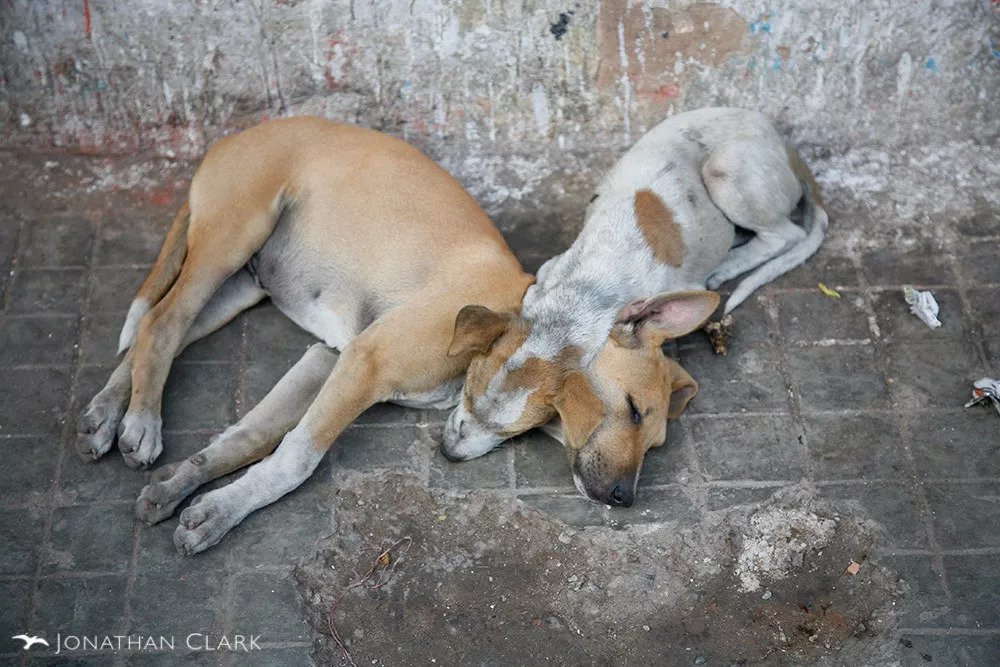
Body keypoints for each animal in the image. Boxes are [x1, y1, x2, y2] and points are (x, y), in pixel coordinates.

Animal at [78, 117, 536, 556]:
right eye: (475, 395)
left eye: (516, 431)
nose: (450, 455)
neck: (520, 303)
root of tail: (233, 137)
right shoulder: (365, 363)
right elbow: (294, 460)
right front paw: (221, 511)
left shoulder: (328, 361)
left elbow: (250, 439)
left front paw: (186, 489)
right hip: (230, 239)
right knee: (161, 322)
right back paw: (141, 422)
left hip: (238, 288)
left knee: (155, 333)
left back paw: (105, 414)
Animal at [446, 108, 828, 506]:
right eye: (467, 393)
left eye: (518, 430)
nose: (448, 453)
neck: (590, 290)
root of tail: (783, 141)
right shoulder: (544, 279)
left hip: (725, 171)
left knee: (787, 235)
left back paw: (728, 265)